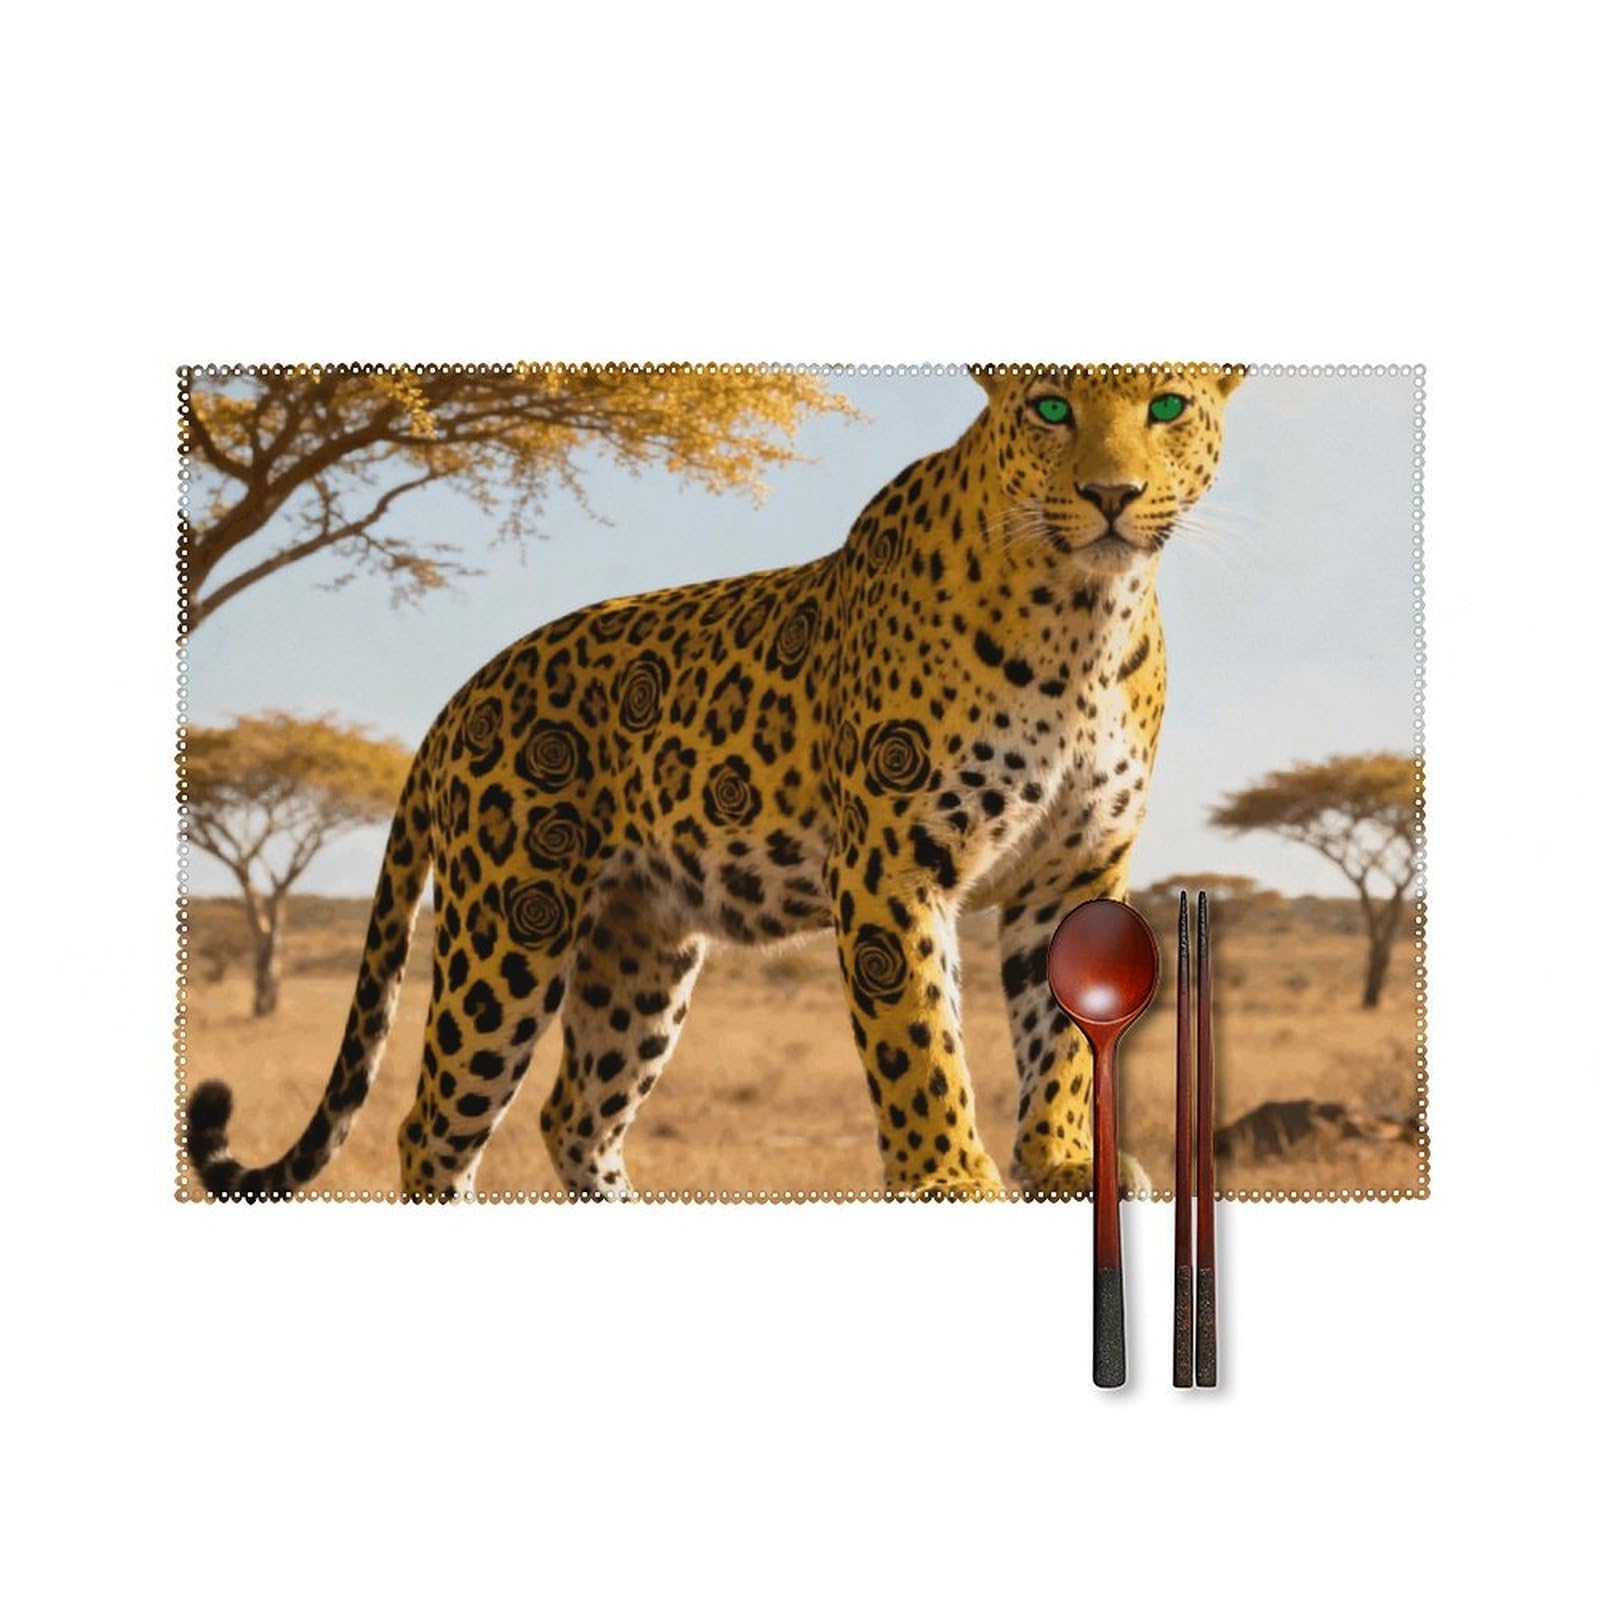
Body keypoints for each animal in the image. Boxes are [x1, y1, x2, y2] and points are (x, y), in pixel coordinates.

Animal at [188, 363, 1245, 1201]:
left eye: (1166, 404)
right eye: (1051, 408)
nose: (1112, 493)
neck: (1086, 617)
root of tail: (463, 695)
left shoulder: (1074, 870)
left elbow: (1060, 1034)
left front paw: (1062, 1162)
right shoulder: (891, 862)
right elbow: (918, 1039)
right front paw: (950, 1177)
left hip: (637, 956)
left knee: (576, 1117)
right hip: (511, 927)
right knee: (437, 1127)